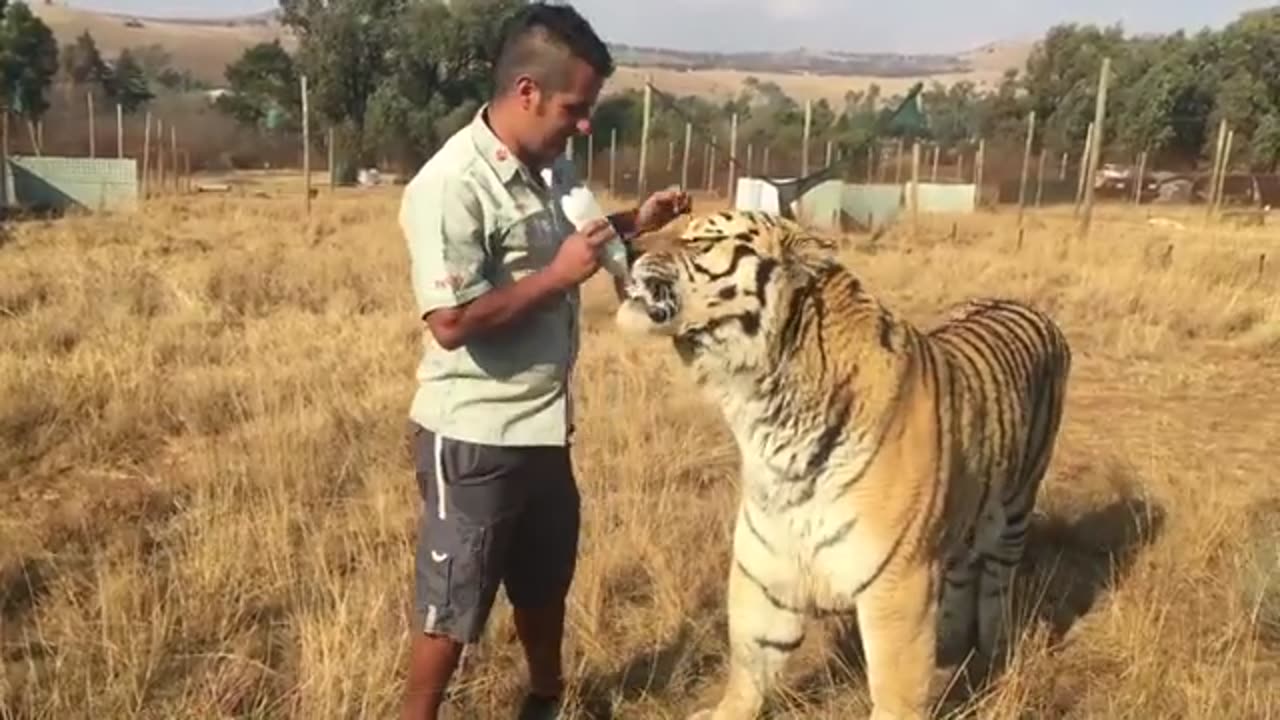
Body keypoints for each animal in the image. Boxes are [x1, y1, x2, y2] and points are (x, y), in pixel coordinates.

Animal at [614, 208, 1075, 717]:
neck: (762, 411)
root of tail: (1030, 308)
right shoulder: (765, 573)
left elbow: (896, 693)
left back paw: (993, 648)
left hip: (1014, 509)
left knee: (997, 580)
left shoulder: (898, 585)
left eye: (702, 240)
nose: (628, 246)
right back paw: (952, 648)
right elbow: (749, 666)